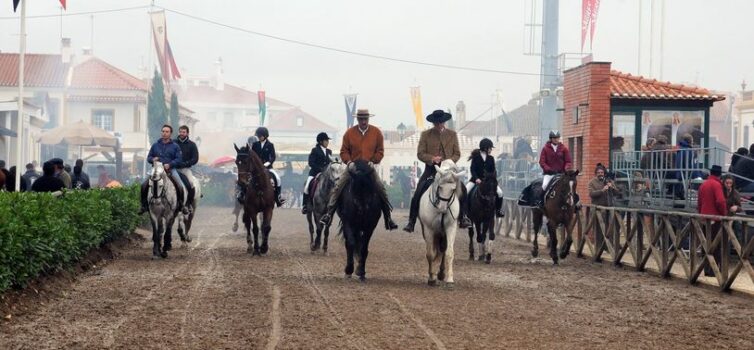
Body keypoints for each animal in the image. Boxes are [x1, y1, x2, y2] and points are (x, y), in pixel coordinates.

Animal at [418, 159, 464, 288]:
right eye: (440, 187)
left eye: (453, 189)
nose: (442, 209)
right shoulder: (429, 230)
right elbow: (430, 254)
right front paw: (431, 278)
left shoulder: (450, 228)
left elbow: (449, 253)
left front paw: (449, 280)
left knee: (442, 250)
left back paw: (442, 274)